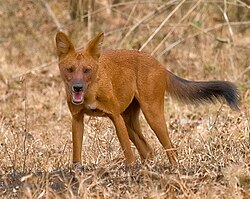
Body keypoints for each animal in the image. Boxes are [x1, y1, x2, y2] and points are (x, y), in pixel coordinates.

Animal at [55, 31, 239, 166]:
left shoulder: (115, 116)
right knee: (148, 150)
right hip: (129, 120)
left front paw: (129, 172)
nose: (77, 87)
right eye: (70, 69)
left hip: (151, 114)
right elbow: (76, 154)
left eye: (87, 70)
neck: (91, 92)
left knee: (170, 148)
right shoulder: (77, 118)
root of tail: (161, 65)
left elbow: (129, 154)